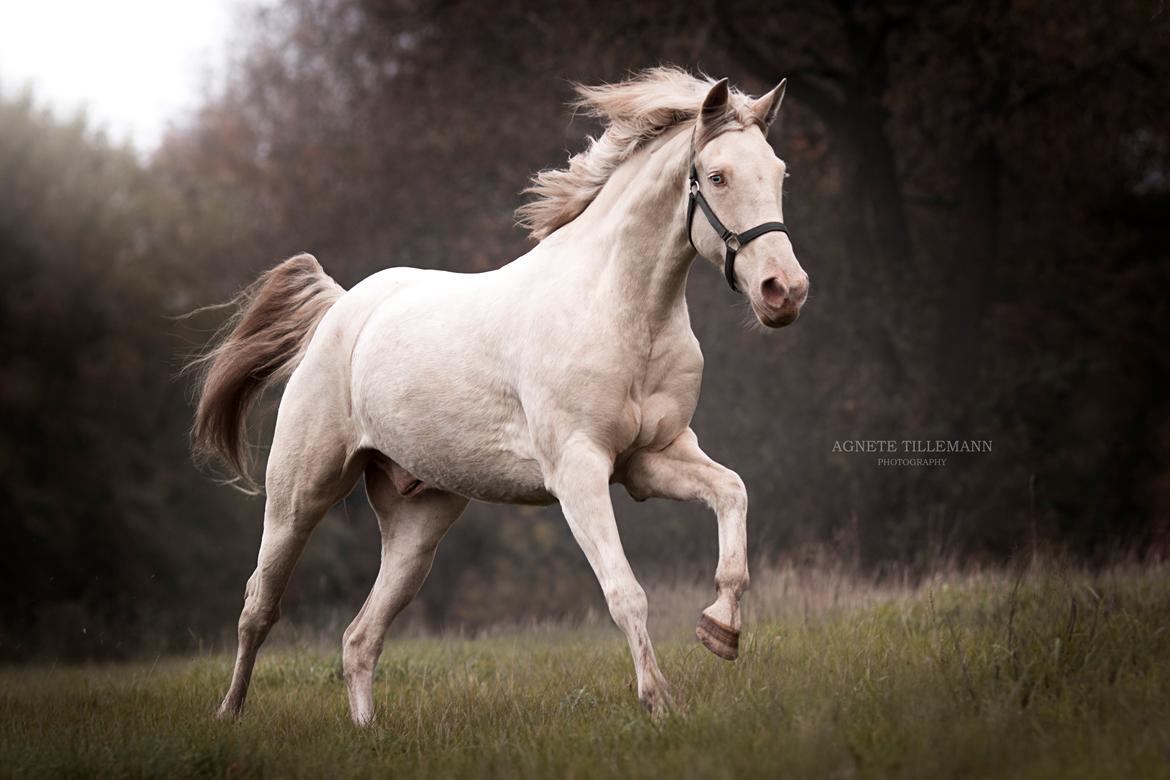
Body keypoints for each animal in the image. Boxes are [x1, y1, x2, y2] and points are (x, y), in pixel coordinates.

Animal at [196, 67, 809, 725]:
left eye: (778, 173)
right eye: (717, 176)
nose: (784, 291)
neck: (622, 310)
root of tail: (342, 308)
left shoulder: (652, 460)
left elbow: (733, 494)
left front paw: (720, 629)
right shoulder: (579, 471)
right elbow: (626, 593)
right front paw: (660, 704)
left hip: (419, 524)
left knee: (360, 637)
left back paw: (367, 731)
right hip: (299, 497)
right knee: (258, 607)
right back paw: (229, 717)